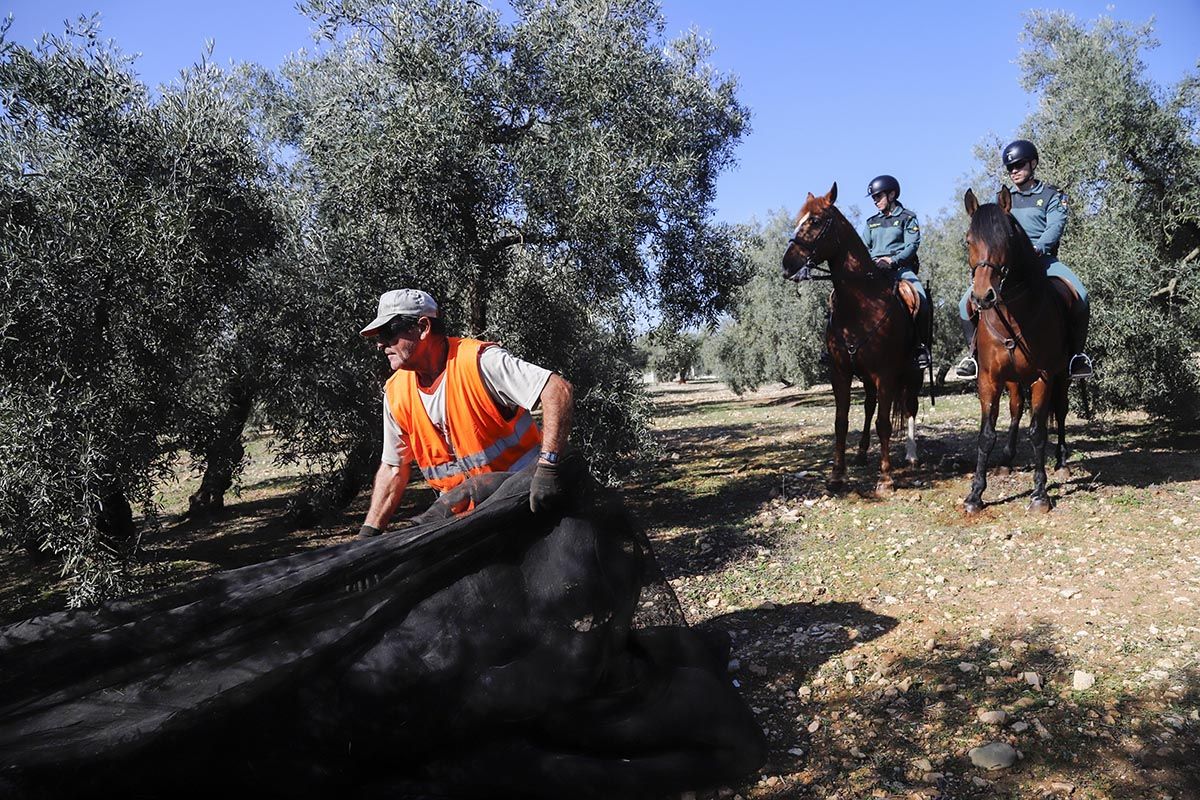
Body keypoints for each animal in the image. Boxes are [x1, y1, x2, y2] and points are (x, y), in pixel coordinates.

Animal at [782, 185, 921, 496]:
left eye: (815, 221)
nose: (787, 264)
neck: (862, 303)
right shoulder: (841, 372)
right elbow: (841, 421)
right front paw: (837, 475)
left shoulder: (885, 373)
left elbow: (884, 423)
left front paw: (886, 478)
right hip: (867, 377)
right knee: (869, 406)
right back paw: (861, 453)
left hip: (910, 372)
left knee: (909, 406)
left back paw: (911, 455)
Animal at [960, 187, 1075, 513]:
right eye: (968, 240)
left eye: (1007, 238)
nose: (983, 296)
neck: (1013, 315)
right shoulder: (989, 379)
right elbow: (986, 435)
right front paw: (975, 495)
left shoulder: (1043, 377)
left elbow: (1038, 432)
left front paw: (1040, 494)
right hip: (1011, 379)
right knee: (1015, 409)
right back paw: (1006, 460)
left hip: (1063, 376)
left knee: (1060, 411)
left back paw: (1061, 462)